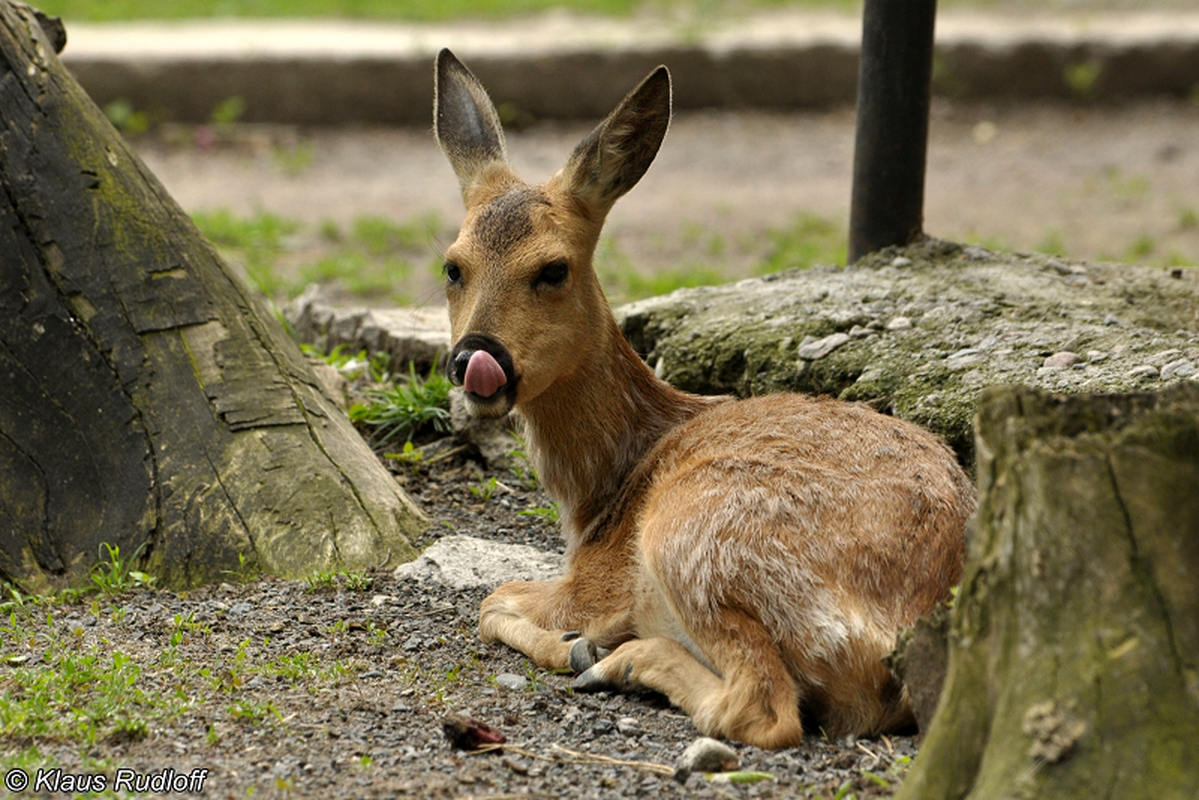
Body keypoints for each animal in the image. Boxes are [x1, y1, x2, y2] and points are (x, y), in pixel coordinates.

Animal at [431, 50, 973, 753]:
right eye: (452, 266)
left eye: (554, 269)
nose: (474, 360)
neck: (602, 492)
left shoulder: (595, 580)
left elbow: (491, 600)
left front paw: (576, 642)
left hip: (698, 537)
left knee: (761, 709)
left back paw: (612, 659)